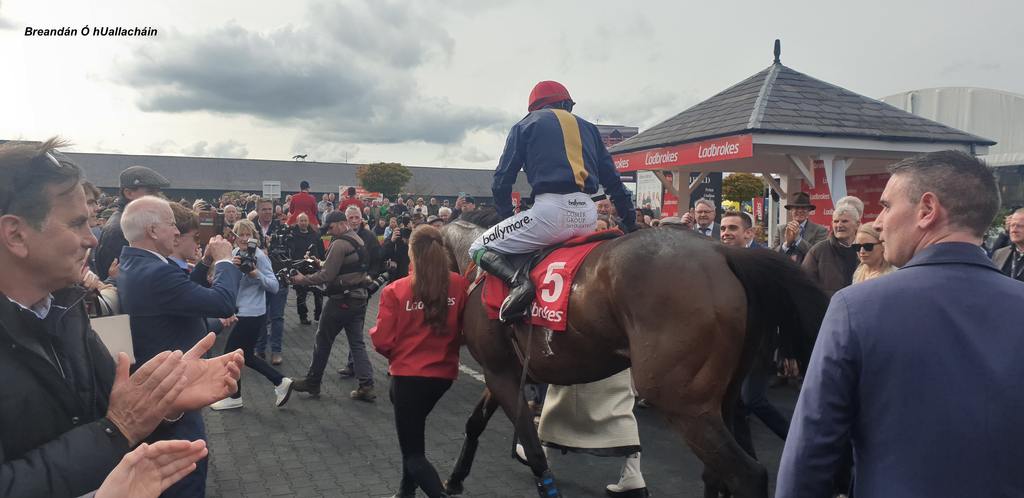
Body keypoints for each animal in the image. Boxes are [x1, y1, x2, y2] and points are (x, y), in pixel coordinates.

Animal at [436, 210, 827, 498]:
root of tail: (724, 252)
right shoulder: (505, 370)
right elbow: (475, 422)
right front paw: (454, 478)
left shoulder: (500, 372)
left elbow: (531, 446)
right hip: (724, 398)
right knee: (716, 473)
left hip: (683, 401)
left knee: (747, 475)